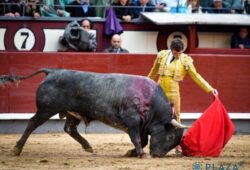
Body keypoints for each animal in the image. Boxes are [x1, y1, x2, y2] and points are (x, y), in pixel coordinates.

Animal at [0, 69, 184, 158]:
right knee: (32, 123)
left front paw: (131, 153)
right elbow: (138, 139)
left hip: (73, 113)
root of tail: (52, 71)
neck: (151, 101)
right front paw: (140, 154)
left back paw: (88, 146)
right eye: (169, 137)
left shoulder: (142, 126)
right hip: (46, 109)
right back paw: (16, 149)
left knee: (69, 128)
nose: (157, 155)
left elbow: (144, 140)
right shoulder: (132, 121)